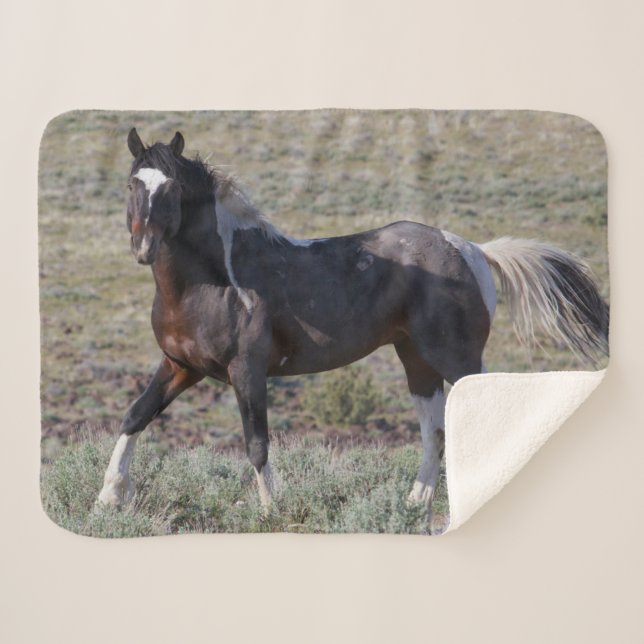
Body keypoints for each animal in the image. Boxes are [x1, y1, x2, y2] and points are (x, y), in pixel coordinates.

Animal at [97, 128, 609, 525]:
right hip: (417, 361)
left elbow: (257, 444)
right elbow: (134, 416)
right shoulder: (181, 365)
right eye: (131, 185)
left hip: (457, 357)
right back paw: (413, 508)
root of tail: (474, 250)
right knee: (435, 432)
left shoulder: (248, 371)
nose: (143, 248)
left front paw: (271, 512)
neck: (214, 280)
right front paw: (107, 500)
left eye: (173, 189)